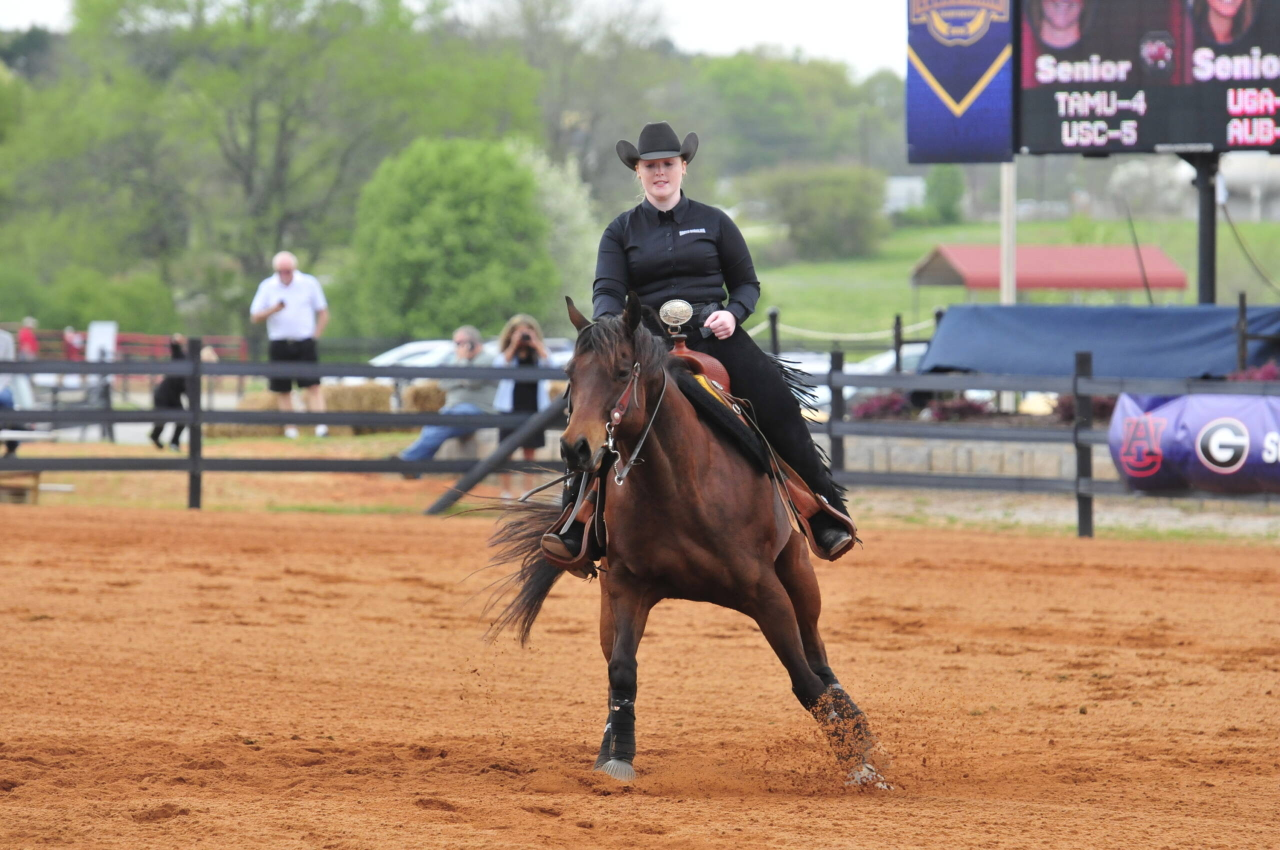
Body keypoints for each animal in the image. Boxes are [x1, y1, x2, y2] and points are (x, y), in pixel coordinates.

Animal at [488, 293, 888, 788]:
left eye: (623, 369)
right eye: (569, 374)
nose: (575, 448)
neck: (679, 485)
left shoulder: (766, 591)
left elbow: (805, 679)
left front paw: (856, 760)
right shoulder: (625, 585)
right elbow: (622, 670)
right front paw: (617, 756)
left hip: (797, 571)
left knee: (818, 658)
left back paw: (855, 726)